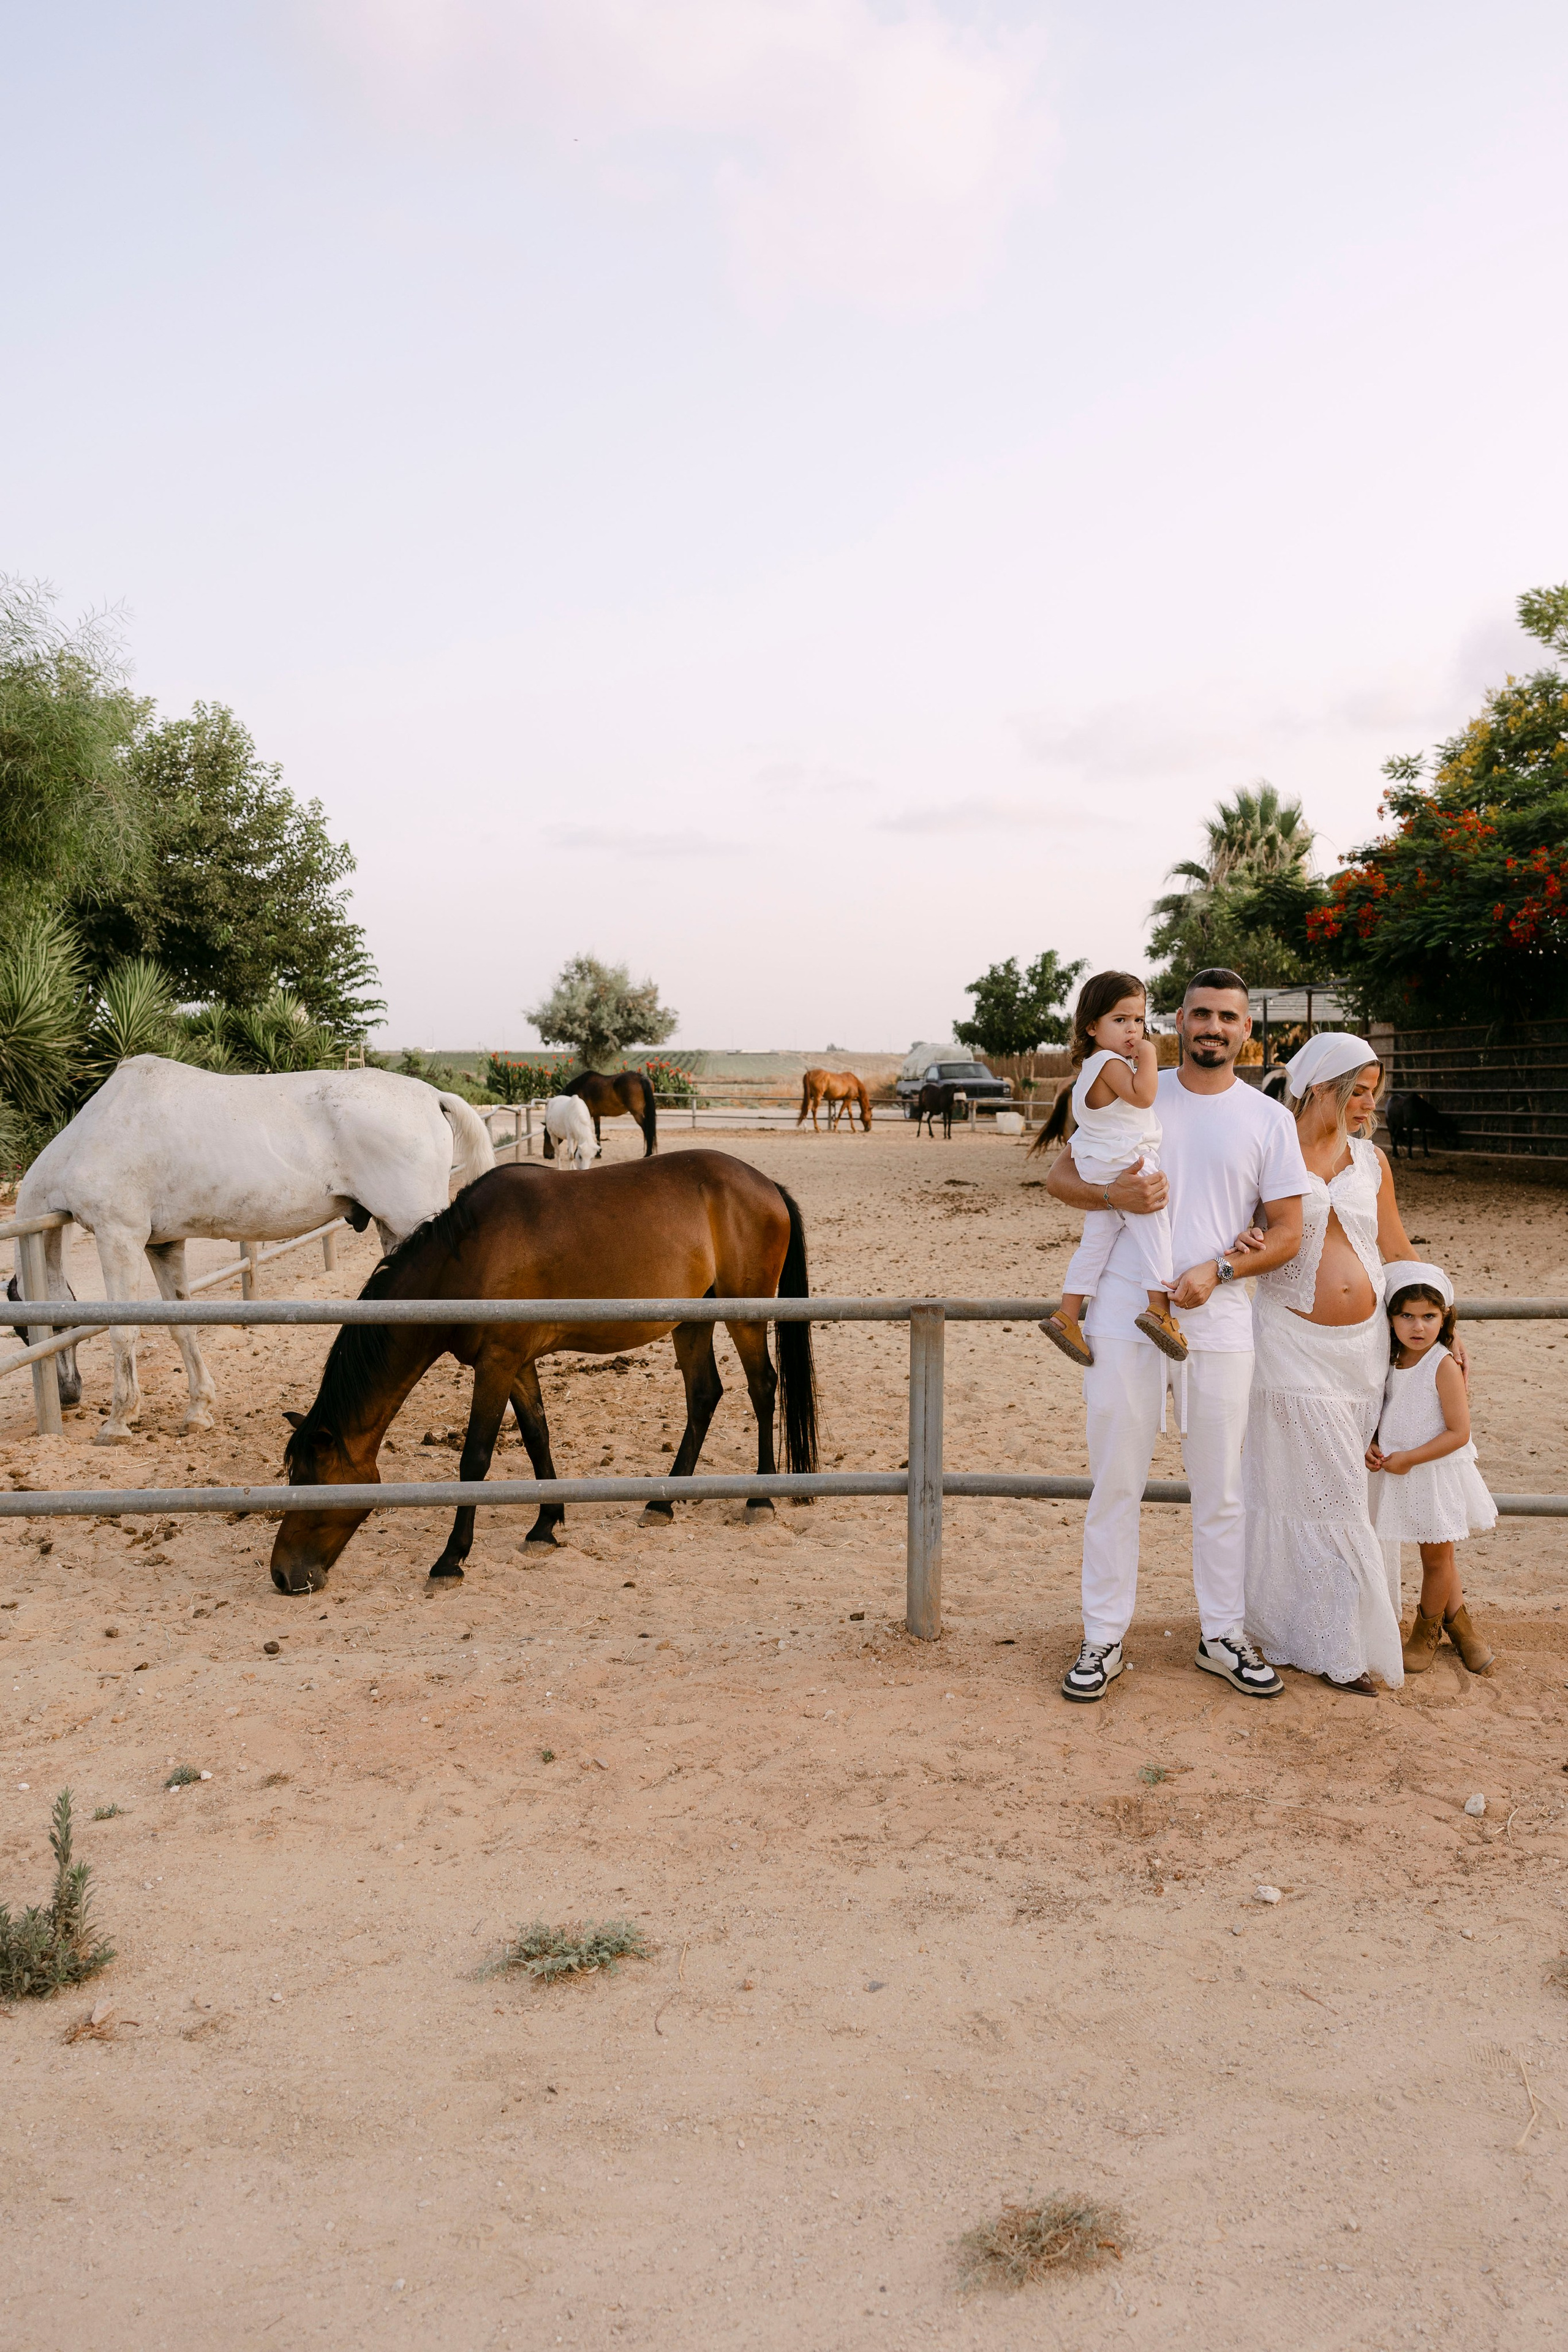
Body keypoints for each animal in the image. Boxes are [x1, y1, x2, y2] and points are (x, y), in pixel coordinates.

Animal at [14, 1056, 494, 1444]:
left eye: (25, 1331)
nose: (68, 1395)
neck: (94, 1134)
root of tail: (431, 1097)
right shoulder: (162, 1245)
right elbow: (180, 1326)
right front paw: (198, 1412)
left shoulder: (120, 1237)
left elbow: (122, 1331)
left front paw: (118, 1421)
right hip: (396, 1231)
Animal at [269, 1151, 819, 1593]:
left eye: (310, 1481)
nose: (281, 1575)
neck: (465, 1257)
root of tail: (767, 1185)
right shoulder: (515, 1362)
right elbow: (537, 1435)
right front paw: (545, 1526)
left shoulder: (497, 1363)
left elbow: (475, 1459)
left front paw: (450, 1559)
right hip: (692, 1321)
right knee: (704, 1395)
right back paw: (663, 1503)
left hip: (744, 1316)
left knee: (762, 1389)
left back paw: (760, 1500)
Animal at [562, 1069, 658, 1156]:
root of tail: (642, 1078)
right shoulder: (597, 1116)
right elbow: (598, 1133)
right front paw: (598, 1153)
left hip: (637, 1114)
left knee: (647, 1128)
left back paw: (648, 1153)